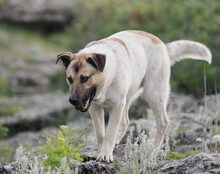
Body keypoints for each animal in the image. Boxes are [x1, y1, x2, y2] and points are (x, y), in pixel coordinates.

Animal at [55, 30, 211, 163]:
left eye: (84, 78)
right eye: (69, 79)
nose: (72, 100)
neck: (107, 78)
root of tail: (163, 46)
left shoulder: (116, 105)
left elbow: (109, 133)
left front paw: (105, 154)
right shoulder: (96, 108)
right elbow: (101, 134)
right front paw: (101, 152)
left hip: (153, 94)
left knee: (163, 122)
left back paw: (153, 150)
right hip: (129, 97)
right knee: (125, 121)